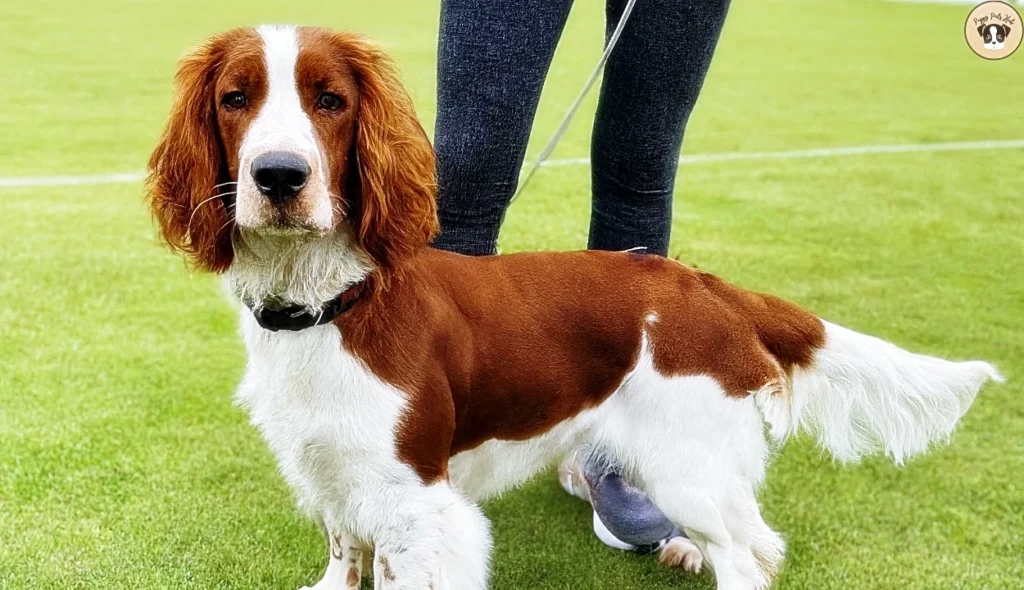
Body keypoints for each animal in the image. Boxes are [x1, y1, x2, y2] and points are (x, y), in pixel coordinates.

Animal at [148, 26, 1003, 590]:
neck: (330, 302)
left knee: (747, 554)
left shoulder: (421, 505)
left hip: (686, 459)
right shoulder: (330, 465)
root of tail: (706, 284)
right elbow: (343, 552)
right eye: (234, 99)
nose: (279, 175)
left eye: (330, 100)